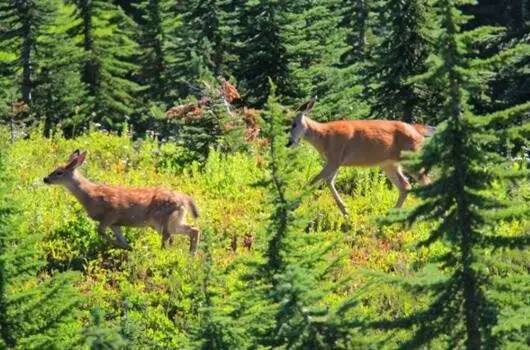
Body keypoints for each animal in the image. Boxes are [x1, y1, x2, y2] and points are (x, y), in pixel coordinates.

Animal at [42, 149, 200, 253]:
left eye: (59, 172)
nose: (45, 179)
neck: (90, 195)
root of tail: (184, 199)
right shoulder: (115, 223)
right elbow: (119, 237)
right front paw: (128, 247)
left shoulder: (111, 213)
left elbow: (100, 231)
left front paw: (124, 247)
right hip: (173, 220)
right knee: (193, 229)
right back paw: (191, 254)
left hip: (162, 219)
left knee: (169, 236)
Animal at [286, 97, 432, 215]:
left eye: (294, 124)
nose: (289, 143)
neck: (323, 138)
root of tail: (419, 133)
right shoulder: (336, 161)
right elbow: (329, 181)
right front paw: (344, 210)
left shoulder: (335, 157)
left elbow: (313, 181)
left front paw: (293, 206)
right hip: (389, 164)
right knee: (405, 186)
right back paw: (391, 214)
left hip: (411, 157)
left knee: (425, 182)